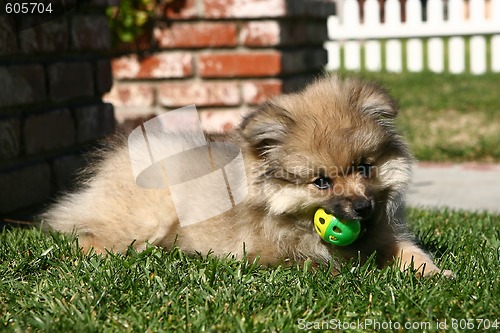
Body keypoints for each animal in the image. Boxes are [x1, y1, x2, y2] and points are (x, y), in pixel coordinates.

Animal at [43, 75, 452, 274]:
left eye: (365, 167)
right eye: (321, 182)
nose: (363, 208)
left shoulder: (386, 235)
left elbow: (410, 252)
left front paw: (433, 273)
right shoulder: (266, 254)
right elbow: (314, 262)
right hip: (148, 216)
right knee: (89, 237)